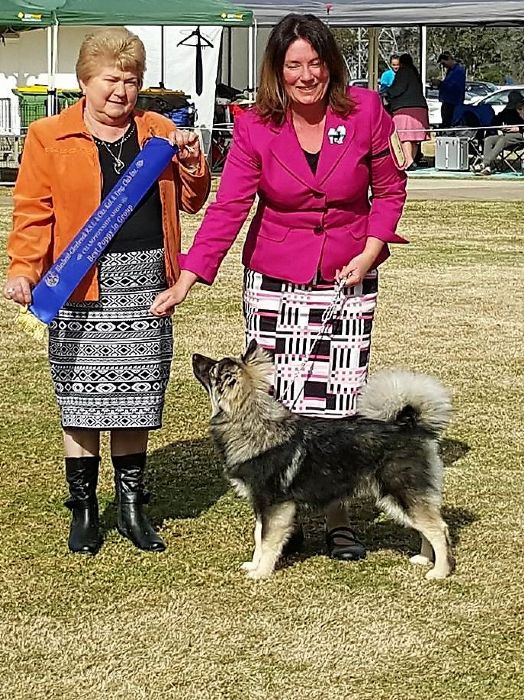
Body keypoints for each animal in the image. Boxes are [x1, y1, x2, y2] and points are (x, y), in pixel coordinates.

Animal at [192, 340, 455, 581]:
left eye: (212, 368)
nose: (195, 356)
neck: (253, 423)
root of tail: (410, 426)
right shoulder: (262, 505)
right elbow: (259, 536)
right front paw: (254, 565)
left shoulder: (274, 505)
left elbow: (266, 541)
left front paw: (261, 573)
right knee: (427, 527)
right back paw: (424, 559)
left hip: (401, 493)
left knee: (438, 529)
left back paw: (439, 571)